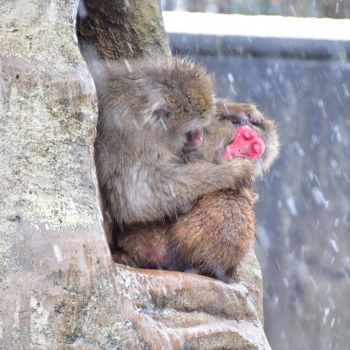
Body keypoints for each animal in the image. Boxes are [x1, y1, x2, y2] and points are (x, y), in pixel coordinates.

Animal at [94, 56, 256, 249]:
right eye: (191, 131)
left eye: (201, 128)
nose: (198, 138)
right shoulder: (136, 140)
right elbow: (138, 198)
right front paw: (235, 171)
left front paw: (230, 108)